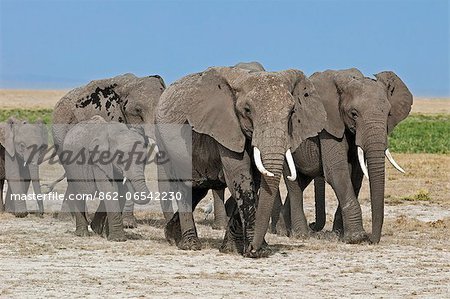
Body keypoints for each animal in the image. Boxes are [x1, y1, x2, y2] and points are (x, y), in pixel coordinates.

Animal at [156, 65, 326, 258]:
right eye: (247, 110)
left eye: (291, 112)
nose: (253, 248)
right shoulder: (225, 127)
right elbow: (239, 176)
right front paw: (256, 251)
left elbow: (254, 180)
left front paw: (232, 249)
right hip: (166, 143)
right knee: (184, 187)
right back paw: (189, 245)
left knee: (197, 189)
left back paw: (172, 236)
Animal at [280, 68, 414, 244]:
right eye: (354, 114)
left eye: (388, 113)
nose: (372, 240)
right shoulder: (329, 125)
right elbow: (337, 171)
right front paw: (356, 238)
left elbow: (356, 175)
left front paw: (340, 234)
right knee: (294, 183)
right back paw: (300, 234)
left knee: (302, 181)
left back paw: (282, 230)